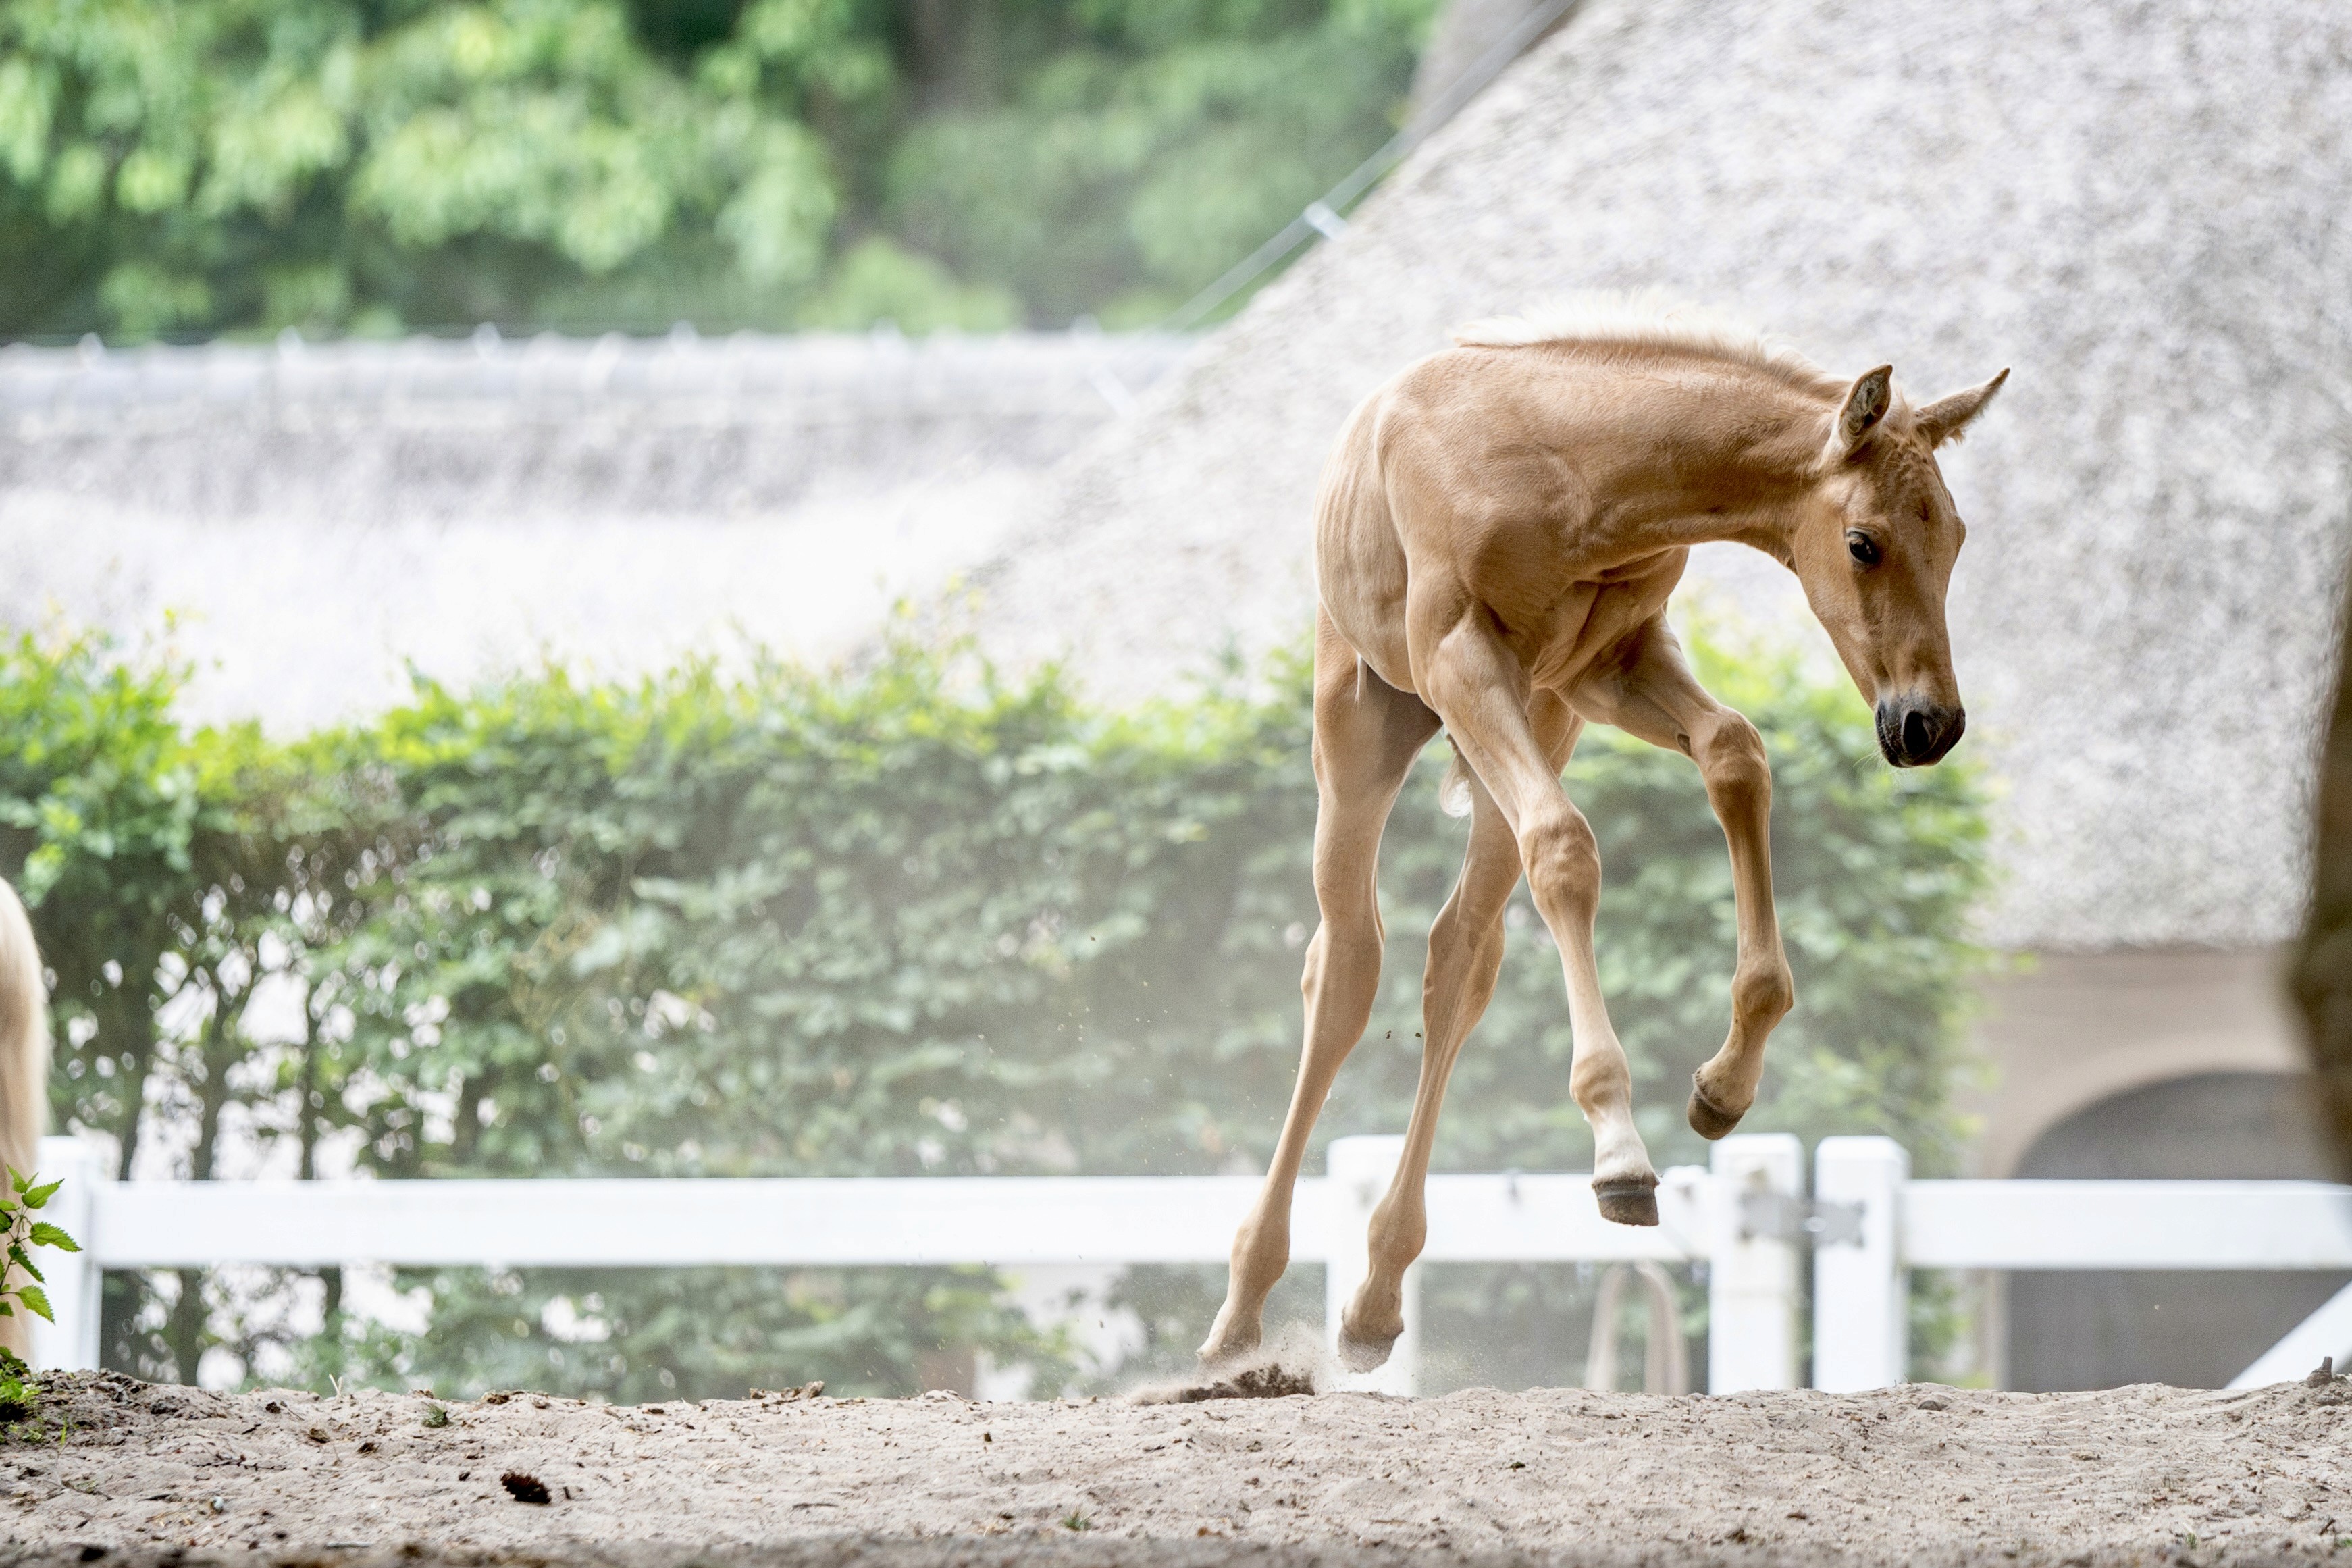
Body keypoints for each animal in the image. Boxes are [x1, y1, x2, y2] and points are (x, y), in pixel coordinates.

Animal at [1198, 295, 2006, 1374]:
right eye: (1864, 542)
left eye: (1955, 536)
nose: (1927, 725)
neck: (1568, 466)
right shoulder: (1457, 653)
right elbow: (1567, 849)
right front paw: (1620, 1151)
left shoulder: (1614, 659)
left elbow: (1736, 755)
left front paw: (1722, 1085)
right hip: (1369, 723)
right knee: (1347, 967)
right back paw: (1243, 1309)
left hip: (1547, 716)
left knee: (1460, 956)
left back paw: (1373, 1298)